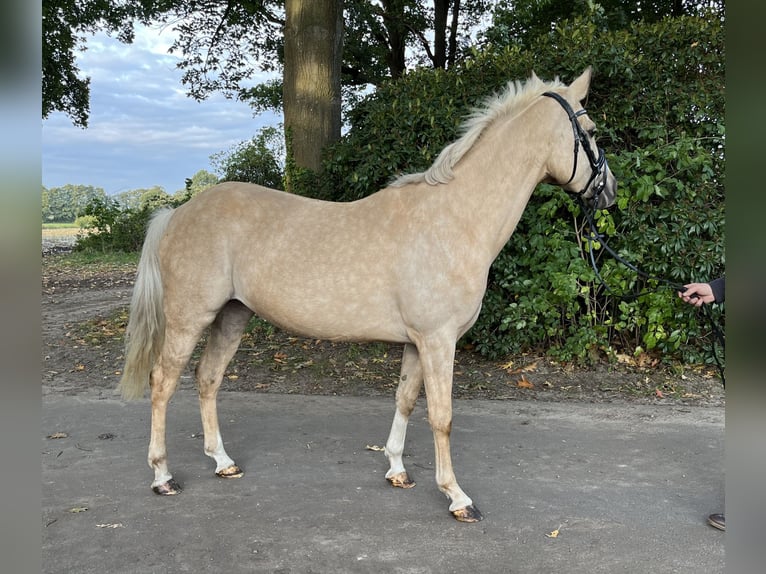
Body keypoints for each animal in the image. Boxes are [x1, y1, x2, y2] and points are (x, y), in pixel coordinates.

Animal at [123, 66, 620, 520]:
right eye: (593, 131)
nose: (610, 193)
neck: (455, 219)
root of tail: (176, 213)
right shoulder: (438, 341)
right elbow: (442, 417)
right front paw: (457, 497)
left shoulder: (418, 343)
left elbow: (405, 400)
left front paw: (397, 469)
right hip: (190, 318)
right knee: (162, 383)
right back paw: (162, 475)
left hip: (232, 315)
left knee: (208, 379)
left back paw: (223, 462)